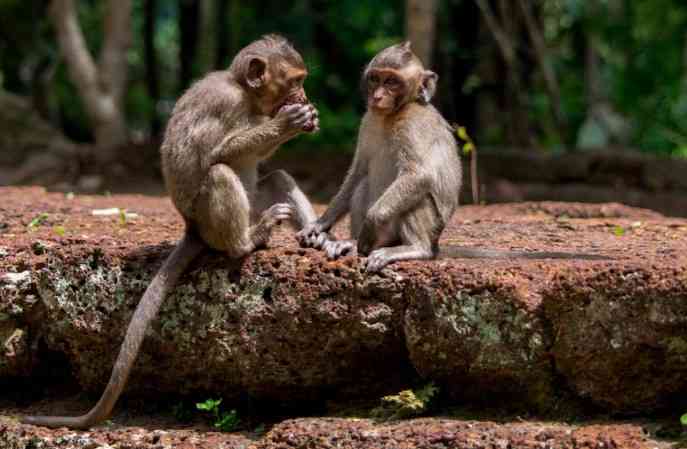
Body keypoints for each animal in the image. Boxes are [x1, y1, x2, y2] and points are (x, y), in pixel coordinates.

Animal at [22, 34, 320, 428]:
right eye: (295, 81)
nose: (304, 96)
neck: (245, 92)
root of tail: (191, 228)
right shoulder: (225, 101)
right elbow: (217, 154)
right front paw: (288, 123)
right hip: (210, 224)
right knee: (219, 174)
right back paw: (246, 243)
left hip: (249, 206)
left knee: (276, 179)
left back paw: (316, 238)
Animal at [298, 43, 604, 272]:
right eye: (375, 78)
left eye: (392, 82)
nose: (378, 95)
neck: (393, 114)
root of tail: (435, 244)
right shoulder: (369, 121)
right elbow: (358, 172)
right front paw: (320, 224)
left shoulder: (412, 125)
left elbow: (419, 174)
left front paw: (370, 225)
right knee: (363, 186)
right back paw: (350, 242)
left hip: (426, 228)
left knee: (417, 196)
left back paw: (413, 249)